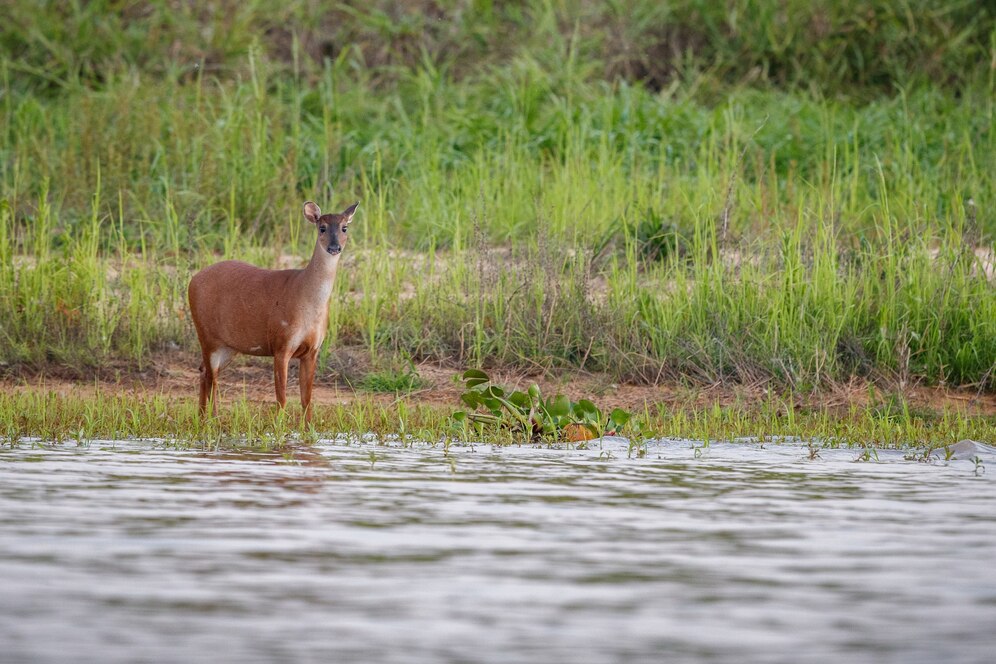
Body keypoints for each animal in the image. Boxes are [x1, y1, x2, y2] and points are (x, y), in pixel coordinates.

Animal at [188, 200, 358, 422]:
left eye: (344, 228)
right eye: (322, 227)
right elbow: (282, 397)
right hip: (207, 335)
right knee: (211, 376)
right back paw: (212, 418)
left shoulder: (312, 350)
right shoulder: (281, 344)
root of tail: (192, 281)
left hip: (228, 345)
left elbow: (307, 399)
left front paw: (309, 428)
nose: (334, 247)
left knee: (204, 371)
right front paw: (279, 427)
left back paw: (203, 418)